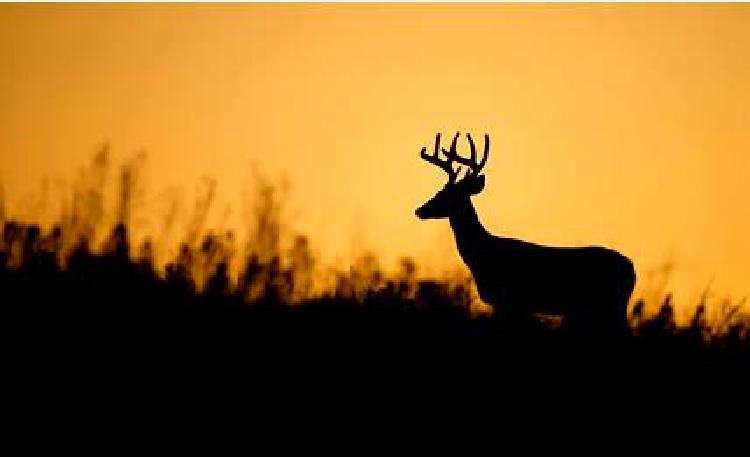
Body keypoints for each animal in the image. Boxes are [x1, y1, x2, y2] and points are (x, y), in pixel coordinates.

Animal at [414, 132, 636, 334]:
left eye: (445, 193)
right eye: (440, 190)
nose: (419, 210)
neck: (482, 255)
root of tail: (631, 268)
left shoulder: (510, 299)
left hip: (610, 304)